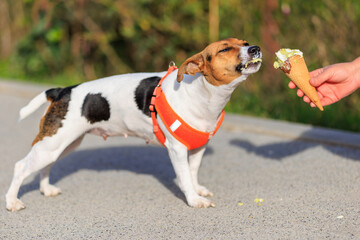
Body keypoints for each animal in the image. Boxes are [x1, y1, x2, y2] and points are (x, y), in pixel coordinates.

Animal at [4, 36, 260, 211]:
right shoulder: (177, 150)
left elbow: (193, 172)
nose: (255, 48)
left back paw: (46, 189)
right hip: (52, 144)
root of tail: (62, 91)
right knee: (20, 167)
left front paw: (198, 190)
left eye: (245, 42)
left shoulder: (198, 147)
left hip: (62, 144)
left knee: (45, 166)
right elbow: (185, 177)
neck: (202, 93)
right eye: (224, 49)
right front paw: (193, 199)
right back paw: (12, 201)